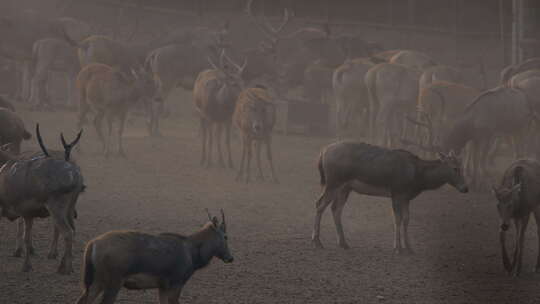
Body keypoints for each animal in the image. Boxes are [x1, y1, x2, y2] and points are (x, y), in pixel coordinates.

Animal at [0, 123, 84, 274]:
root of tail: (77, 177)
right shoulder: (28, 212)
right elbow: (26, 236)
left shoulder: (22, 210)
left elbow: (25, 236)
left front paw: (25, 263)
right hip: (70, 207)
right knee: (73, 230)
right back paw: (65, 263)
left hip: (56, 205)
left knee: (67, 232)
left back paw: (65, 267)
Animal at [74, 209, 232, 304]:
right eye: (225, 236)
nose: (230, 257)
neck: (194, 257)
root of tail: (92, 245)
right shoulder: (177, 282)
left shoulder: (162, 285)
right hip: (114, 280)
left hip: (97, 280)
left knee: (83, 300)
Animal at [312, 140, 468, 252]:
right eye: (455, 168)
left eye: (462, 167)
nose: (465, 188)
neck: (417, 179)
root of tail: (322, 152)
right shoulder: (396, 192)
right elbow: (397, 219)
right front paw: (397, 247)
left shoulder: (406, 197)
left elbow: (406, 219)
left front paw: (409, 247)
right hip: (333, 181)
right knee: (319, 204)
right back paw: (317, 242)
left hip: (345, 187)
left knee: (335, 208)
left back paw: (343, 243)